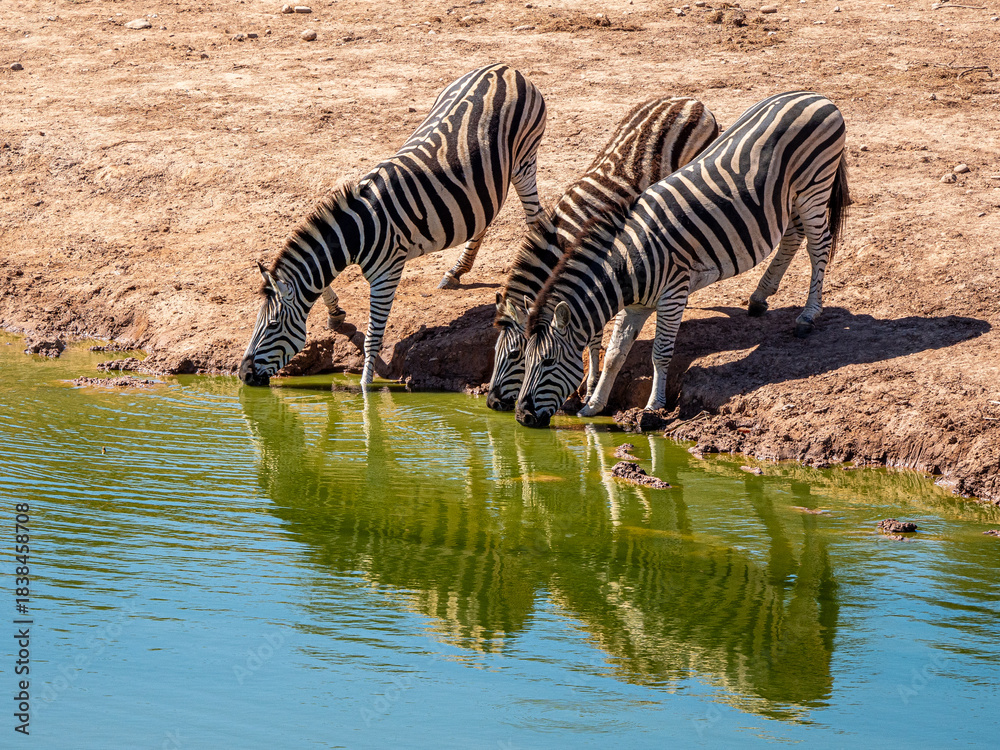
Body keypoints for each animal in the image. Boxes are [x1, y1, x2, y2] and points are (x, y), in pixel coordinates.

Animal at [238, 63, 546, 388]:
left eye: (272, 325)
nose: (243, 374)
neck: (360, 229)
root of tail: (504, 68)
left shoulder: (386, 274)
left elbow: (373, 337)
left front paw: (365, 389)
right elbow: (322, 284)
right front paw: (335, 313)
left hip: (525, 160)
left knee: (534, 216)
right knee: (483, 218)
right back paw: (456, 271)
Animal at [486, 96, 719, 411]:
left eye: (515, 355)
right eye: (496, 351)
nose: (491, 403)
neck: (565, 237)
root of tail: (690, 100)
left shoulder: (596, 269)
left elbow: (593, 337)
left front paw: (589, 387)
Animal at [514, 91, 850, 428]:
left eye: (547, 361)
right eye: (525, 360)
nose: (521, 417)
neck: (626, 266)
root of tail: (814, 95)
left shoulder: (673, 293)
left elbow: (660, 353)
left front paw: (653, 408)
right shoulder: (636, 306)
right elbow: (615, 353)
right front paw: (594, 405)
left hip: (814, 187)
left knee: (819, 246)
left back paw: (808, 315)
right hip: (790, 195)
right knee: (793, 235)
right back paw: (759, 298)